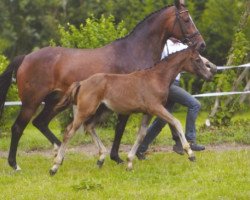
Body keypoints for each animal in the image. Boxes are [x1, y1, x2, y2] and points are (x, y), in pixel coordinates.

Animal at [49, 48, 214, 175]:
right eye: (197, 59)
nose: (209, 75)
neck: (156, 78)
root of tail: (82, 83)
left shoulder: (148, 112)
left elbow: (141, 134)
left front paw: (129, 163)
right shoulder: (156, 107)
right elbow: (176, 122)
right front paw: (190, 153)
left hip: (103, 111)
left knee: (89, 127)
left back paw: (101, 158)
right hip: (86, 110)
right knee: (69, 131)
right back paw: (55, 166)